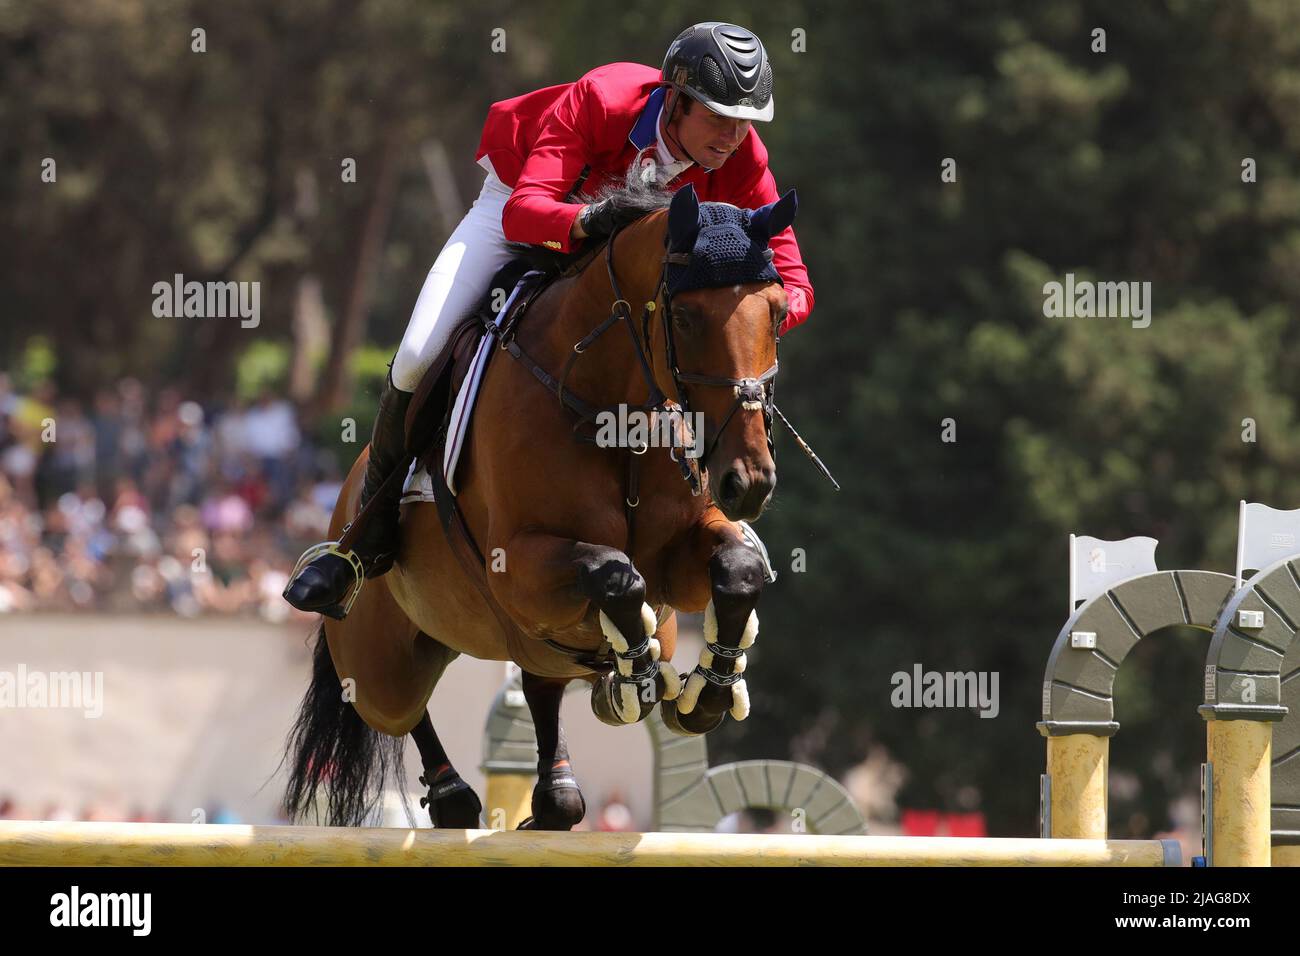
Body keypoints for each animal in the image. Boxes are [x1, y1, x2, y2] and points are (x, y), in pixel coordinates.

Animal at [286, 178, 800, 832]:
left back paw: (556, 791)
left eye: (778, 314)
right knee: (402, 709)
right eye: (685, 317)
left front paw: (704, 691)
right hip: (382, 667)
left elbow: (736, 568)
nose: (748, 481)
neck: (613, 414)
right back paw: (452, 791)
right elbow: (615, 574)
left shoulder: (678, 562)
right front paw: (637, 680)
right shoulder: (518, 564)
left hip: (521, 646)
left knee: (541, 689)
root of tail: (343, 506)